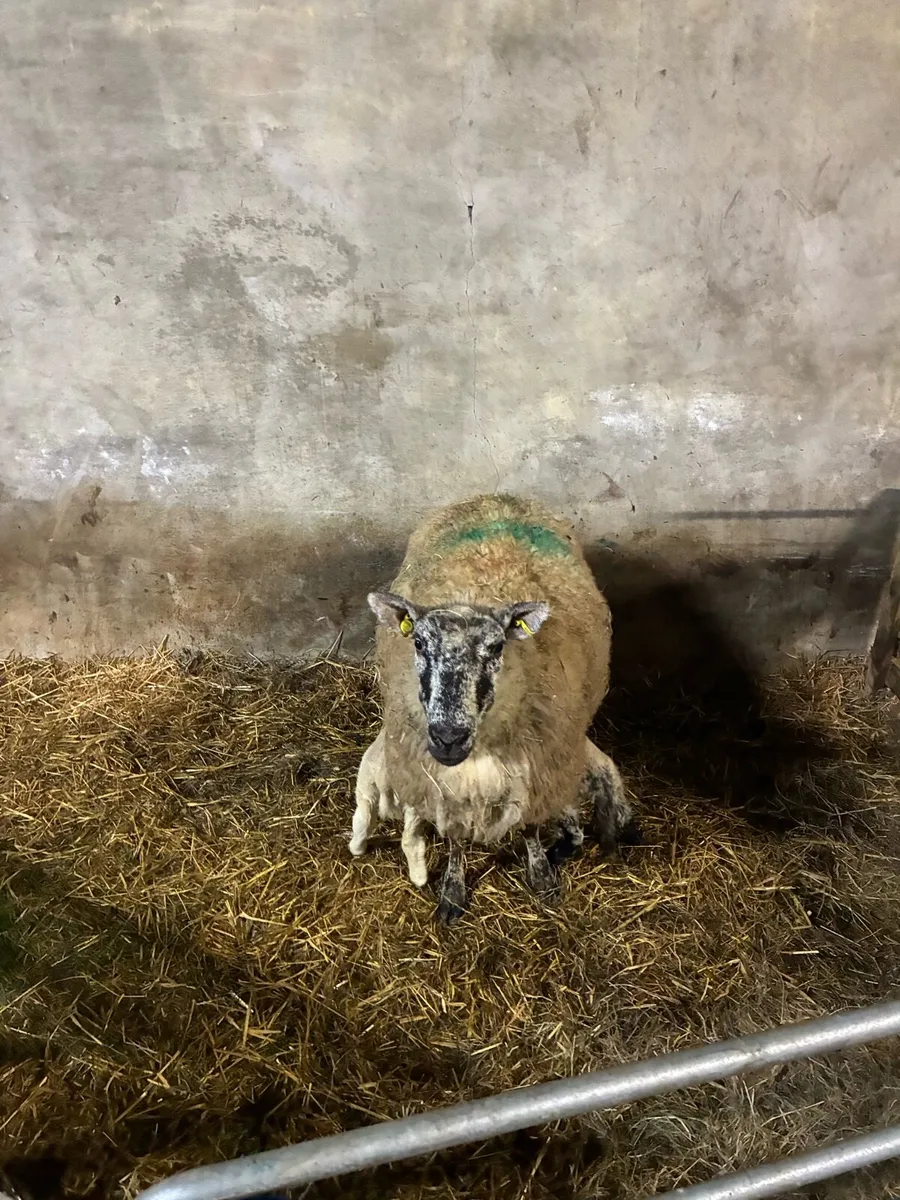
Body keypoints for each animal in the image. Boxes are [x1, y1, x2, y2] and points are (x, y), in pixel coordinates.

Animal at [349, 493, 639, 923]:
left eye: (497, 646)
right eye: (417, 642)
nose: (448, 738)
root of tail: (497, 496)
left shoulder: (539, 771)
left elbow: (531, 828)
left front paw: (541, 874)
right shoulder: (445, 785)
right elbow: (455, 840)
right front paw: (452, 891)